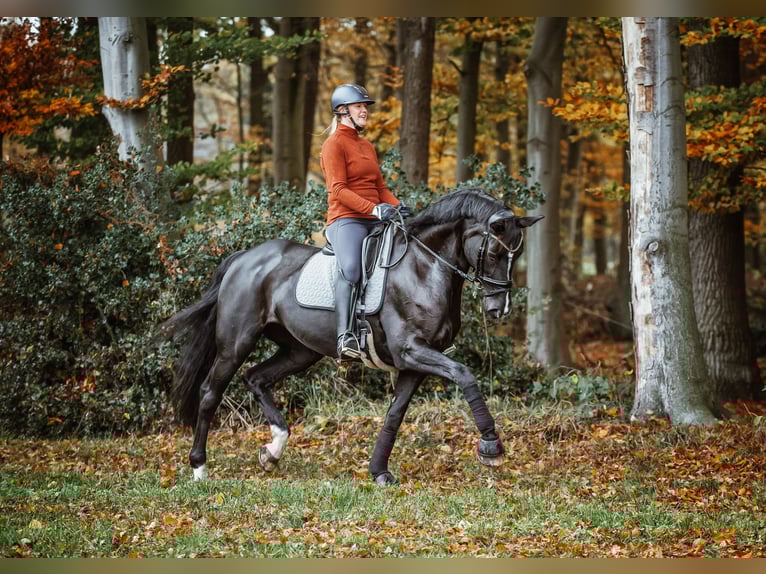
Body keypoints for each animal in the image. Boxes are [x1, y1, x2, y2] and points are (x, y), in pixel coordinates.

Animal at [162, 187, 543, 485]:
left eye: (518, 254)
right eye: (495, 253)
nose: (499, 309)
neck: (424, 268)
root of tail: (244, 258)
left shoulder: (414, 363)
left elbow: (394, 414)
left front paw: (379, 471)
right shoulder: (411, 351)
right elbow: (465, 375)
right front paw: (490, 446)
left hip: (300, 351)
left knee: (256, 379)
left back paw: (273, 450)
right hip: (235, 344)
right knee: (211, 392)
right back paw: (199, 467)